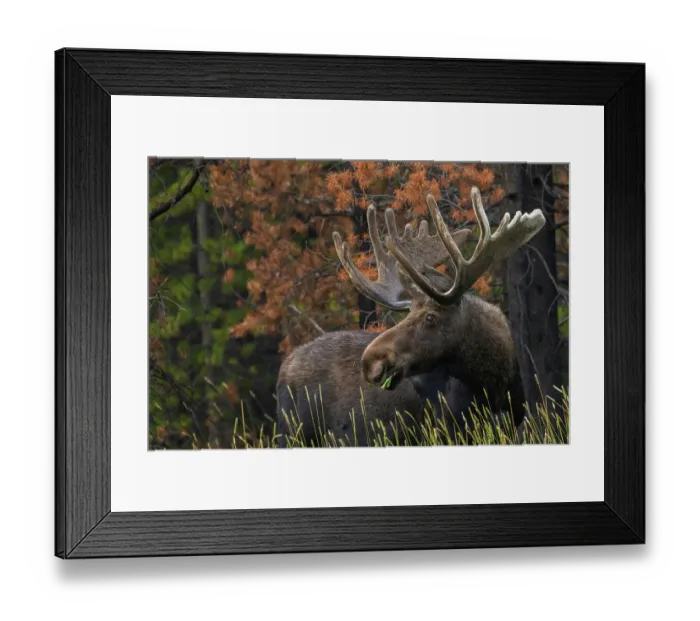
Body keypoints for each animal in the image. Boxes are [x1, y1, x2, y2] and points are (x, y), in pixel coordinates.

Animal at [276, 187, 545, 446]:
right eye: (408, 311)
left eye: (430, 317)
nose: (370, 362)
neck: (496, 384)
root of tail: (284, 369)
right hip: (293, 435)